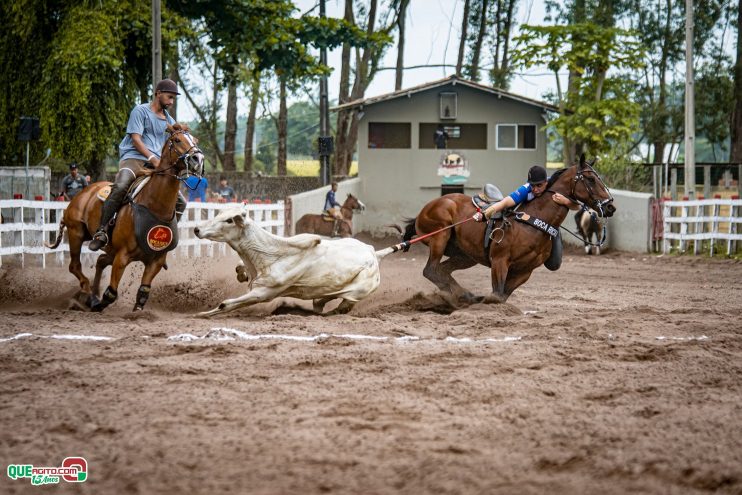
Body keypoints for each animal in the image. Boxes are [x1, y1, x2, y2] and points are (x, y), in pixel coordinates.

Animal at [46, 123, 205, 310]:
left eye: (195, 140)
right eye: (177, 139)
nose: (198, 159)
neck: (154, 206)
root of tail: (82, 193)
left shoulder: (156, 260)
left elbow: (143, 293)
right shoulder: (122, 257)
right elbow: (111, 294)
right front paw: (98, 303)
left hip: (104, 246)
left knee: (100, 261)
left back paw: (92, 292)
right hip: (76, 232)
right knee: (74, 266)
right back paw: (88, 294)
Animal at [195, 208, 398, 318]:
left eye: (229, 220)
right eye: (220, 213)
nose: (197, 229)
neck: (271, 255)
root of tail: (374, 253)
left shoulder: (263, 293)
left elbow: (226, 304)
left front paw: (201, 314)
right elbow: (239, 266)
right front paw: (241, 273)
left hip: (356, 292)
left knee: (341, 307)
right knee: (321, 301)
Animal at [404, 155, 620, 304]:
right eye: (590, 180)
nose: (610, 206)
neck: (532, 222)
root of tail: (428, 207)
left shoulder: (525, 271)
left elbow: (502, 296)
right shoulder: (500, 261)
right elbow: (497, 294)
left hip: (465, 255)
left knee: (441, 270)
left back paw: (465, 295)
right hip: (440, 236)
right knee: (430, 270)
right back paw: (464, 295)